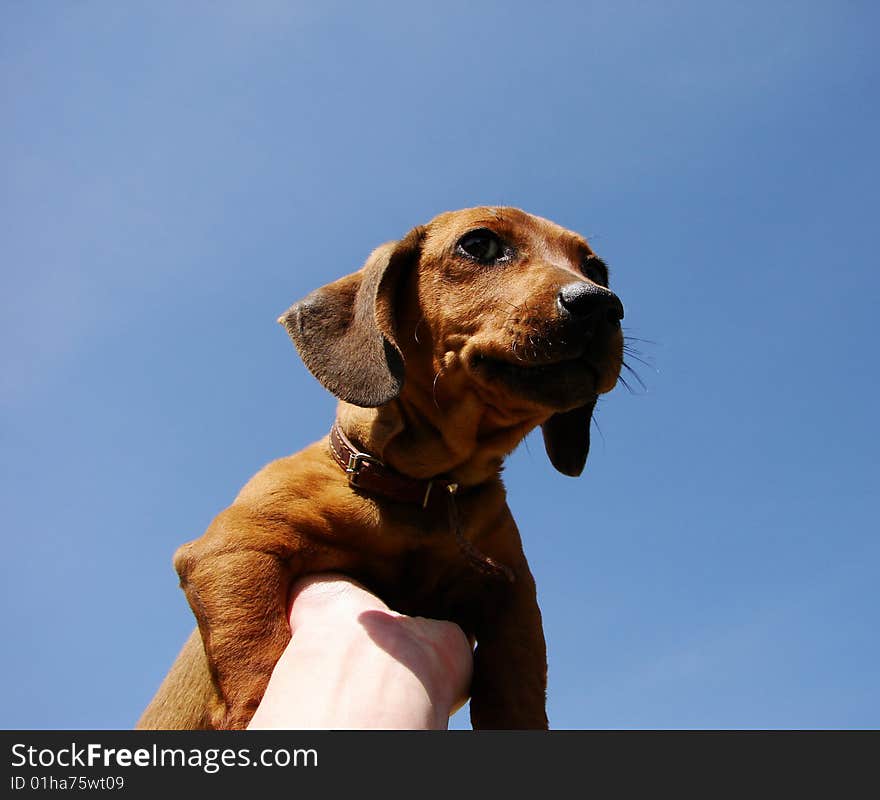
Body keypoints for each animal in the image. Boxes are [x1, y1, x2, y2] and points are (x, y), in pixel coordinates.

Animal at [138, 208, 624, 732]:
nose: (602, 305)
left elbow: (518, 682)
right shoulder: (234, 546)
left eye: (597, 270)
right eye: (479, 245)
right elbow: (256, 656)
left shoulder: (512, 591)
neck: (424, 490)